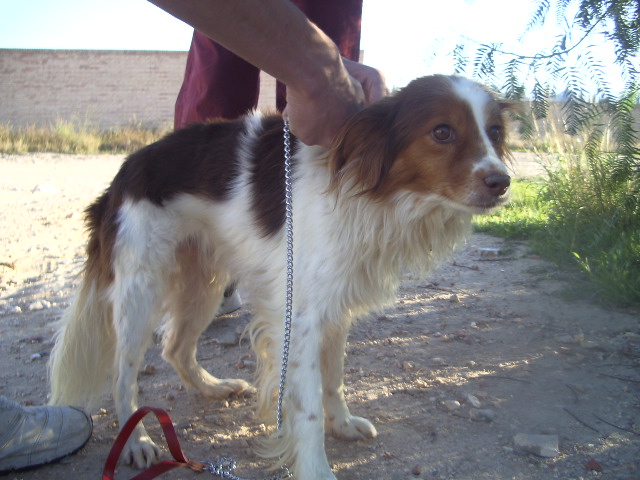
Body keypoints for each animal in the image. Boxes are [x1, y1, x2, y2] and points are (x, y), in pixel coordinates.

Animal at [48, 75, 510, 480]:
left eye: (494, 131)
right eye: (442, 132)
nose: (503, 182)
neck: (371, 192)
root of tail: (124, 173)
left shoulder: (333, 308)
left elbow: (333, 380)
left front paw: (342, 424)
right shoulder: (299, 318)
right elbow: (305, 407)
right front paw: (316, 470)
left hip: (205, 284)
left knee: (175, 347)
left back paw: (214, 388)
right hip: (141, 291)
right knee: (122, 376)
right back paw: (137, 440)